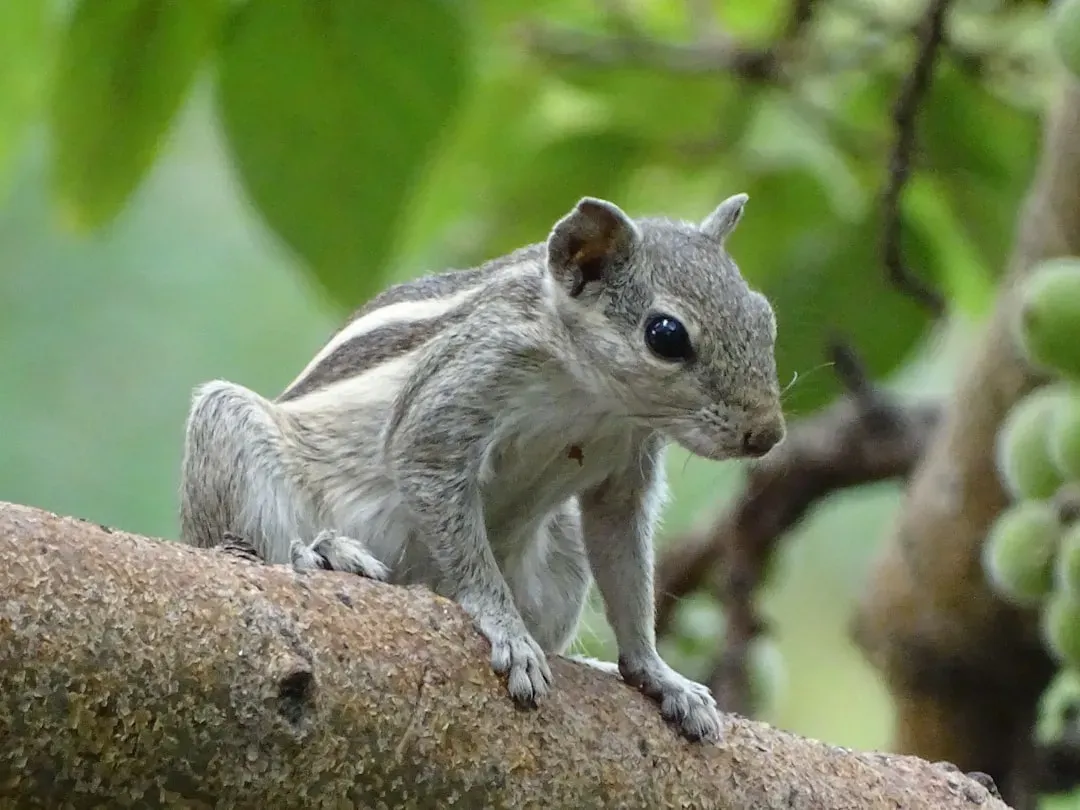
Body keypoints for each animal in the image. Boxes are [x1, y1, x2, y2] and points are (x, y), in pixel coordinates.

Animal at [178, 192, 785, 743]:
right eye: (665, 334)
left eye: (765, 316)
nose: (768, 434)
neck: (592, 397)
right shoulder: (460, 388)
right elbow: (448, 509)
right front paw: (506, 630)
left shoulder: (626, 471)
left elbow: (627, 567)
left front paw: (655, 672)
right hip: (226, 437)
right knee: (247, 547)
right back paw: (325, 553)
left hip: (562, 549)